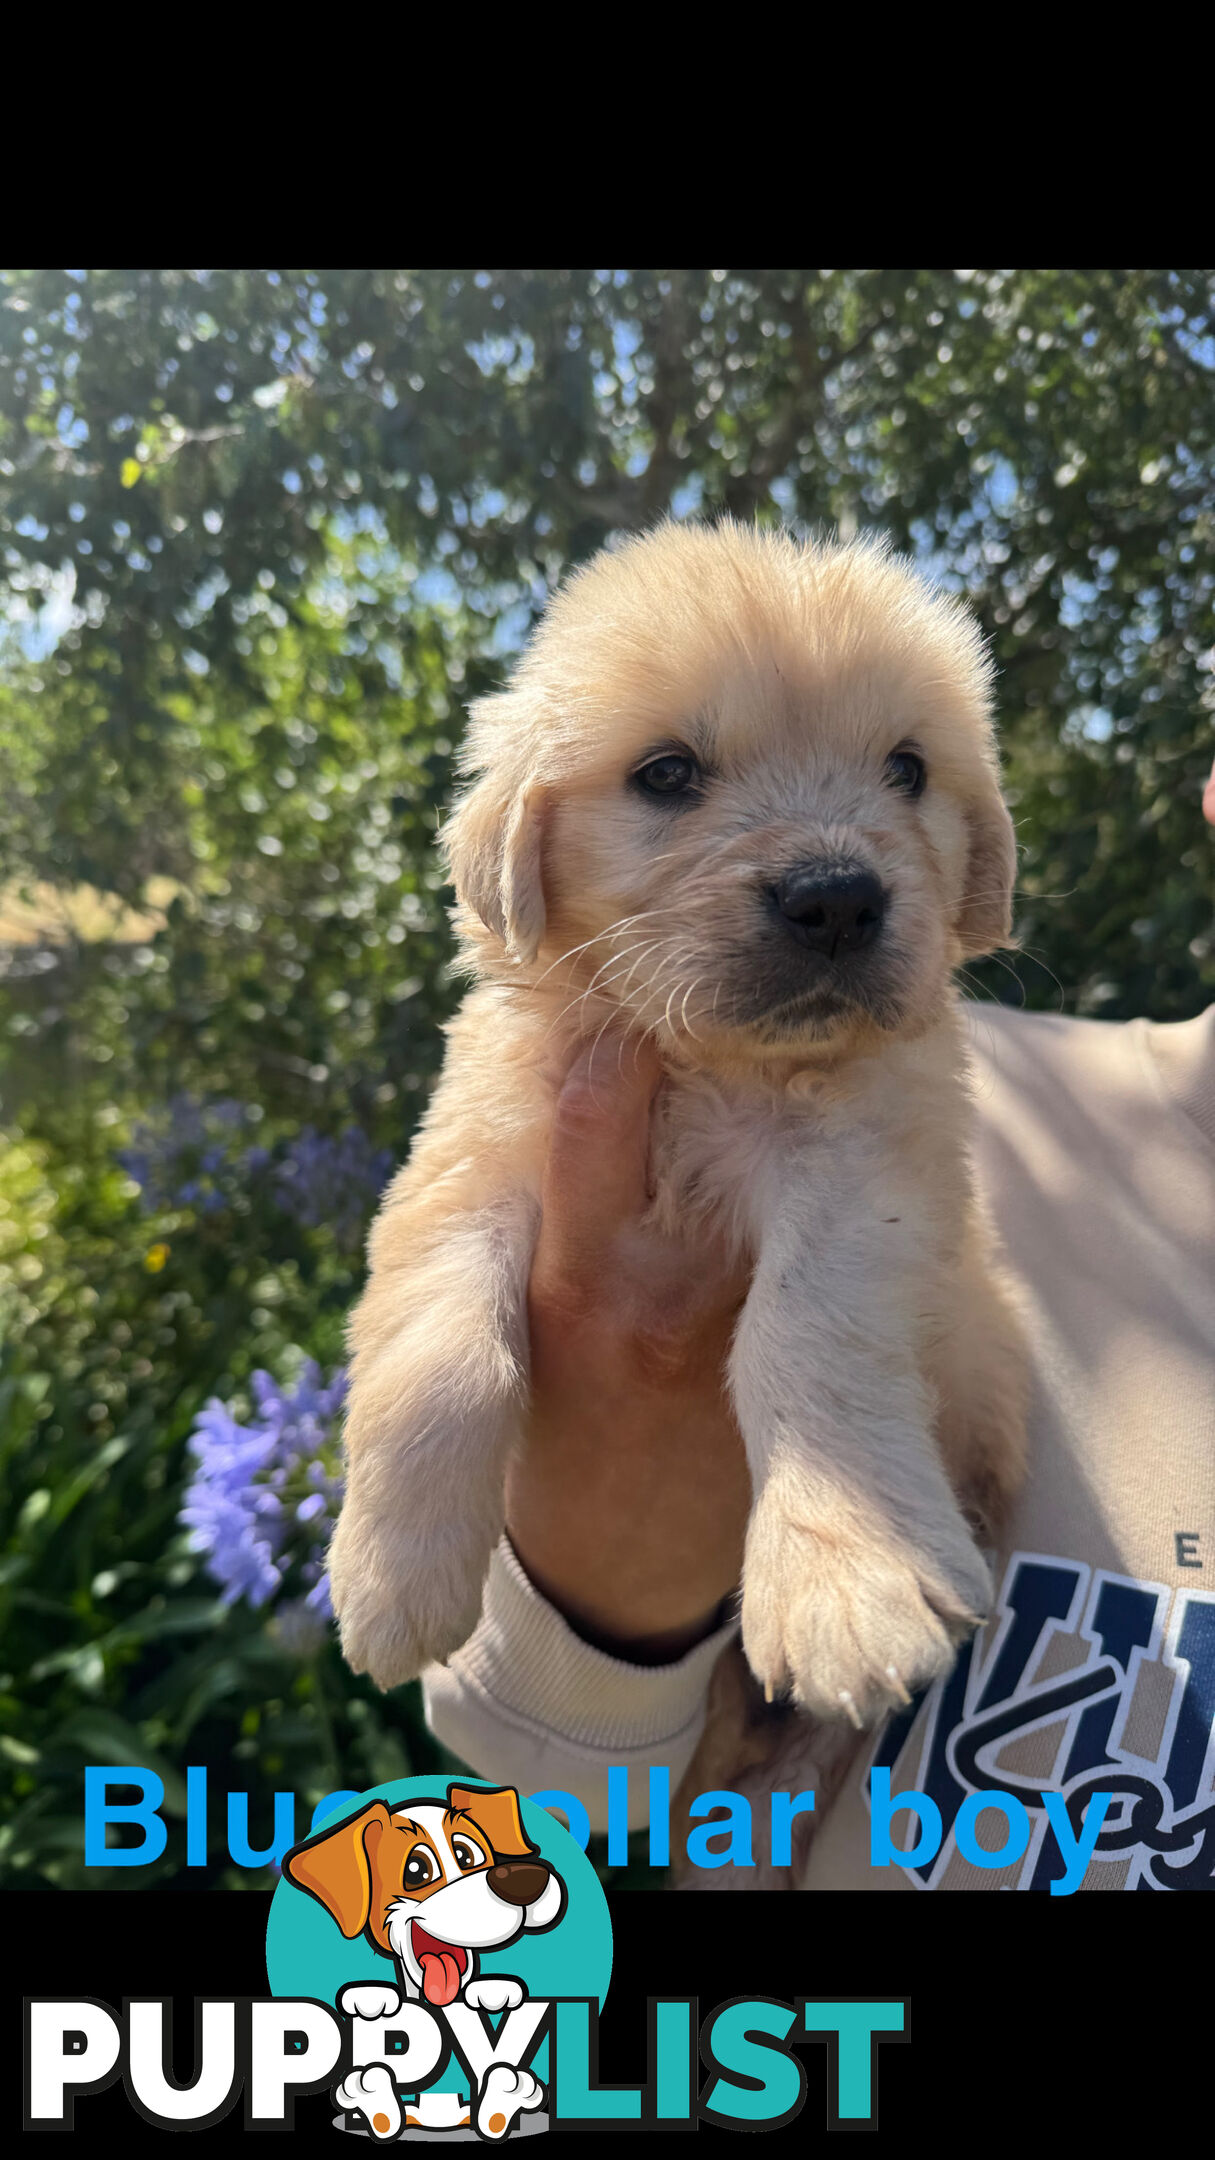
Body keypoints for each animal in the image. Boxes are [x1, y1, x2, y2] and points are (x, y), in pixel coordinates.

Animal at [328, 527, 1020, 1736]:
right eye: (666, 775)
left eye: (907, 770)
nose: (837, 897)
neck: (707, 1069)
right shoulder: (470, 1161)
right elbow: (438, 1352)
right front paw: (390, 1580)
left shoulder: (869, 1172)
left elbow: (803, 1332)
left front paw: (845, 1584)